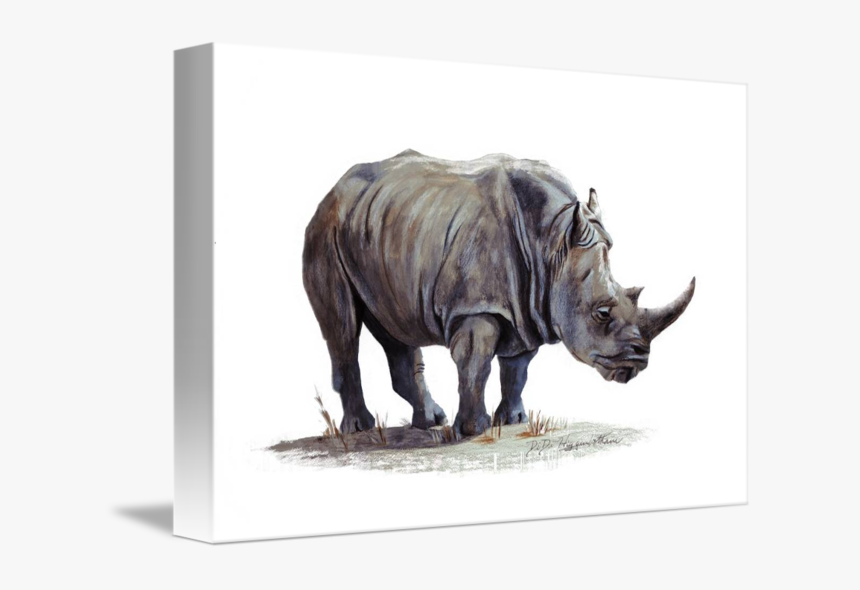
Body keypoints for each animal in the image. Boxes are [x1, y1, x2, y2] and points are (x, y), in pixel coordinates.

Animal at [303, 150, 695, 436]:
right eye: (602, 313)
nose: (637, 363)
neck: (553, 244)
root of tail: (332, 190)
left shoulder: (529, 305)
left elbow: (517, 369)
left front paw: (513, 421)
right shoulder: (476, 306)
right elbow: (476, 363)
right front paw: (472, 430)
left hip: (383, 231)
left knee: (394, 326)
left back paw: (430, 422)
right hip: (326, 231)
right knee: (343, 329)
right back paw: (359, 429)